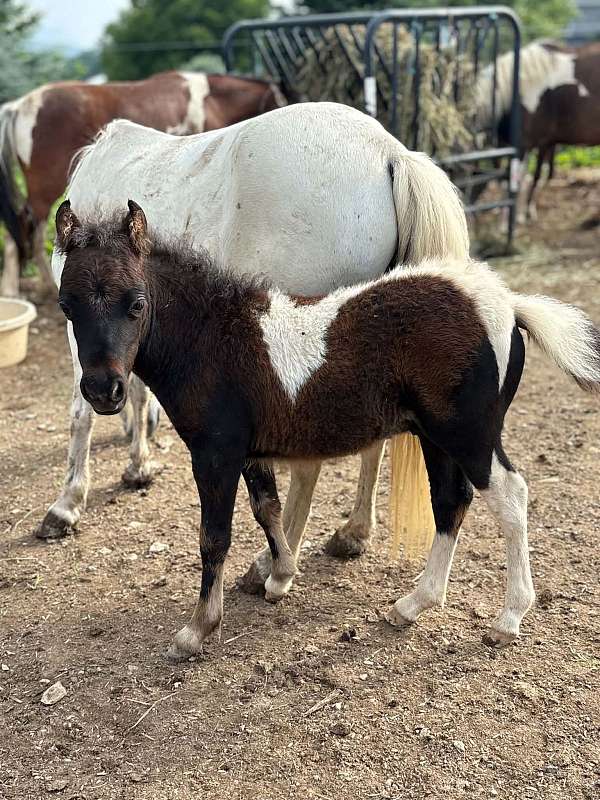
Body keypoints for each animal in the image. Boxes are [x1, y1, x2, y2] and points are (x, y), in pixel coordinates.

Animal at [38, 102, 469, 587]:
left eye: (67, 305)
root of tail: (389, 153)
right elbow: (137, 391)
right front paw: (138, 464)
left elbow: (81, 414)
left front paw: (67, 504)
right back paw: (352, 534)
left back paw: (273, 565)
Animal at [56, 199, 600, 658]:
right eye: (67, 306)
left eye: (137, 302)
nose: (103, 390)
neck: (214, 337)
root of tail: (509, 307)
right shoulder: (248, 450)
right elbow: (268, 509)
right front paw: (280, 576)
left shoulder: (214, 453)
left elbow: (214, 537)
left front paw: (197, 629)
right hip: (435, 437)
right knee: (451, 502)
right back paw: (413, 604)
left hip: (470, 435)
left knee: (510, 496)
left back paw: (508, 618)